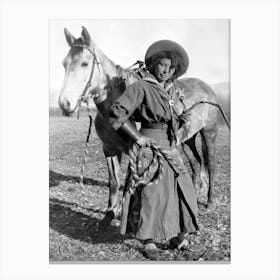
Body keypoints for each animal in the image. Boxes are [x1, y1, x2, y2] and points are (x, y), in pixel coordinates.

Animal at [58, 25, 225, 229]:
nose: (65, 103)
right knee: (195, 164)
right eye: (64, 64)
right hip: (188, 140)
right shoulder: (109, 149)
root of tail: (208, 89)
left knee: (210, 165)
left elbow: (131, 182)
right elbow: (114, 182)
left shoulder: (134, 149)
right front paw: (108, 215)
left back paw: (209, 201)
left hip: (209, 133)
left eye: (84, 63)